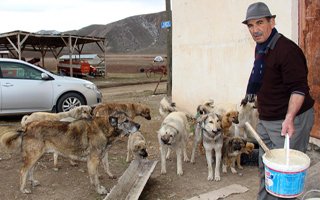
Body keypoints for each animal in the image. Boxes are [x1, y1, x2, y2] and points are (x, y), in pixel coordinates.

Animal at [0, 111, 140, 195]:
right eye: (125, 121)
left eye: (131, 118)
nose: (138, 125)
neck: (104, 128)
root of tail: (26, 127)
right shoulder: (93, 159)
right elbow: (95, 177)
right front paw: (99, 189)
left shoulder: (100, 157)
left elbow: (103, 168)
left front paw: (105, 176)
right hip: (33, 156)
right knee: (23, 171)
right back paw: (23, 189)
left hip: (37, 156)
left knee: (30, 170)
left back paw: (33, 182)